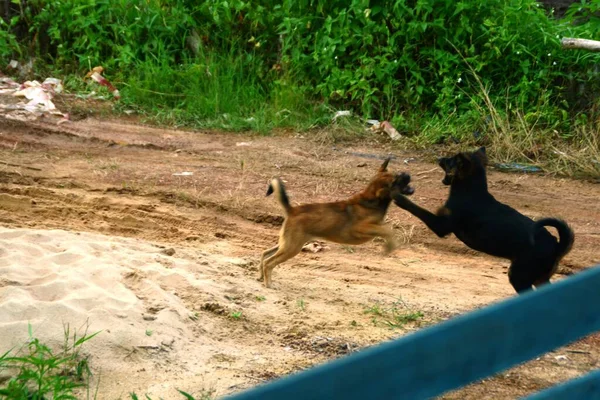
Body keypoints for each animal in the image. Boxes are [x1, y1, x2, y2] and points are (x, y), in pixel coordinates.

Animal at [255, 159, 414, 288]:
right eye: (396, 181)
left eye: (397, 174)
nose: (407, 174)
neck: (371, 200)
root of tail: (292, 210)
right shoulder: (360, 228)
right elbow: (387, 230)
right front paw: (390, 246)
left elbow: (386, 229)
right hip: (292, 247)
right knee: (269, 262)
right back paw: (269, 283)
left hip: (288, 243)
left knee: (265, 254)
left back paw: (261, 277)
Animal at [392, 147, 576, 294]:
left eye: (450, 161)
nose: (440, 158)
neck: (470, 190)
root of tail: (557, 246)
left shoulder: (441, 226)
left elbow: (418, 209)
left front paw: (398, 196)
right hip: (539, 278)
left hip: (519, 275)